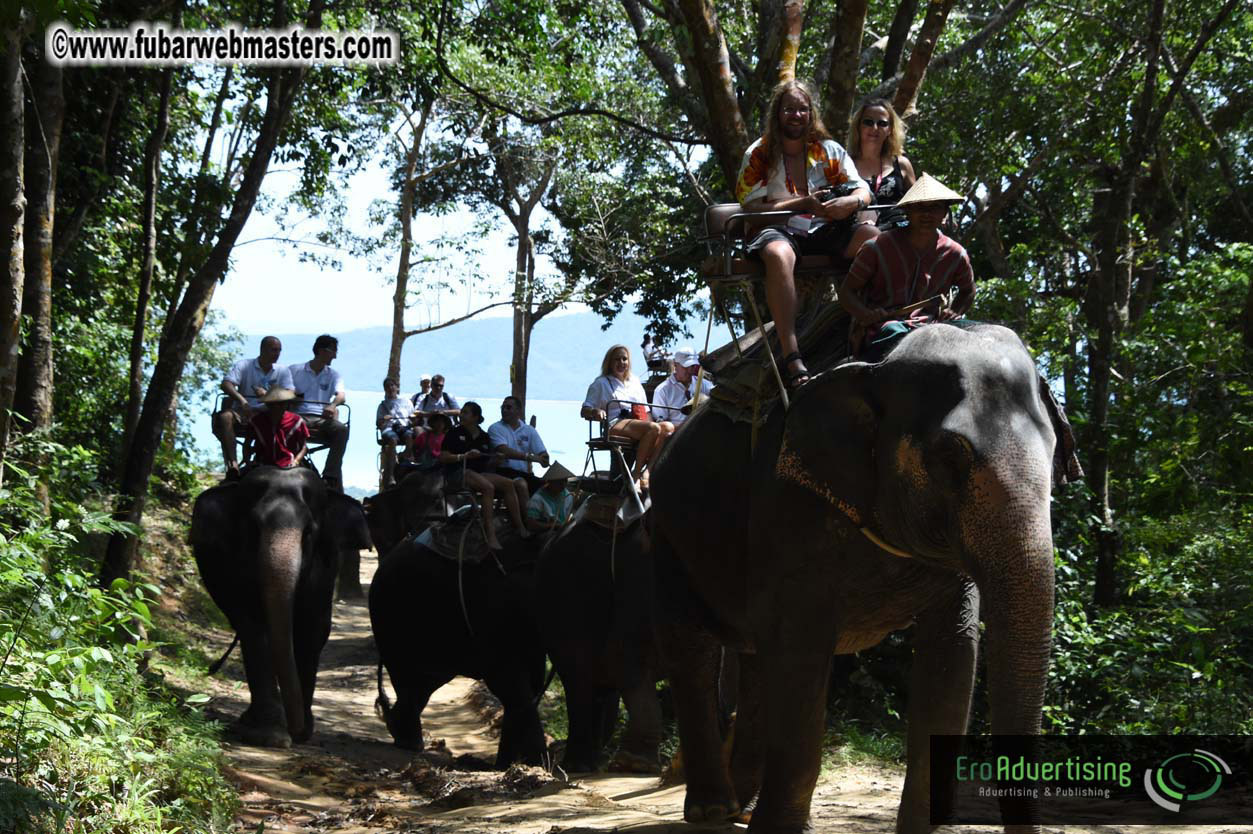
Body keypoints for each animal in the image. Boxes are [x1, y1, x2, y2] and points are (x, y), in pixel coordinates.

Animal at [191, 465, 372, 748]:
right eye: (253, 528)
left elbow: (313, 627)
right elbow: (253, 626)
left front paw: (303, 730)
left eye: (309, 532)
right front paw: (269, 735)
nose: (296, 731)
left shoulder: (325, 566)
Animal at [370, 520, 549, 768]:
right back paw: (407, 741)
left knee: (425, 681)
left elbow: (532, 682)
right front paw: (538, 765)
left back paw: (401, 732)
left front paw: (510, 765)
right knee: (409, 675)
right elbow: (507, 681)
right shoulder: (495, 614)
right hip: (392, 615)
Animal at [648, 323, 1080, 833]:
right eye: (949, 455)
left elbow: (953, 654)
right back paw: (713, 810)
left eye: (1055, 451)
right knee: (692, 653)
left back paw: (742, 809)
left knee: (754, 663)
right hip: (665, 538)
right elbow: (801, 655)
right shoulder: (788, 503)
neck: (879, 365)